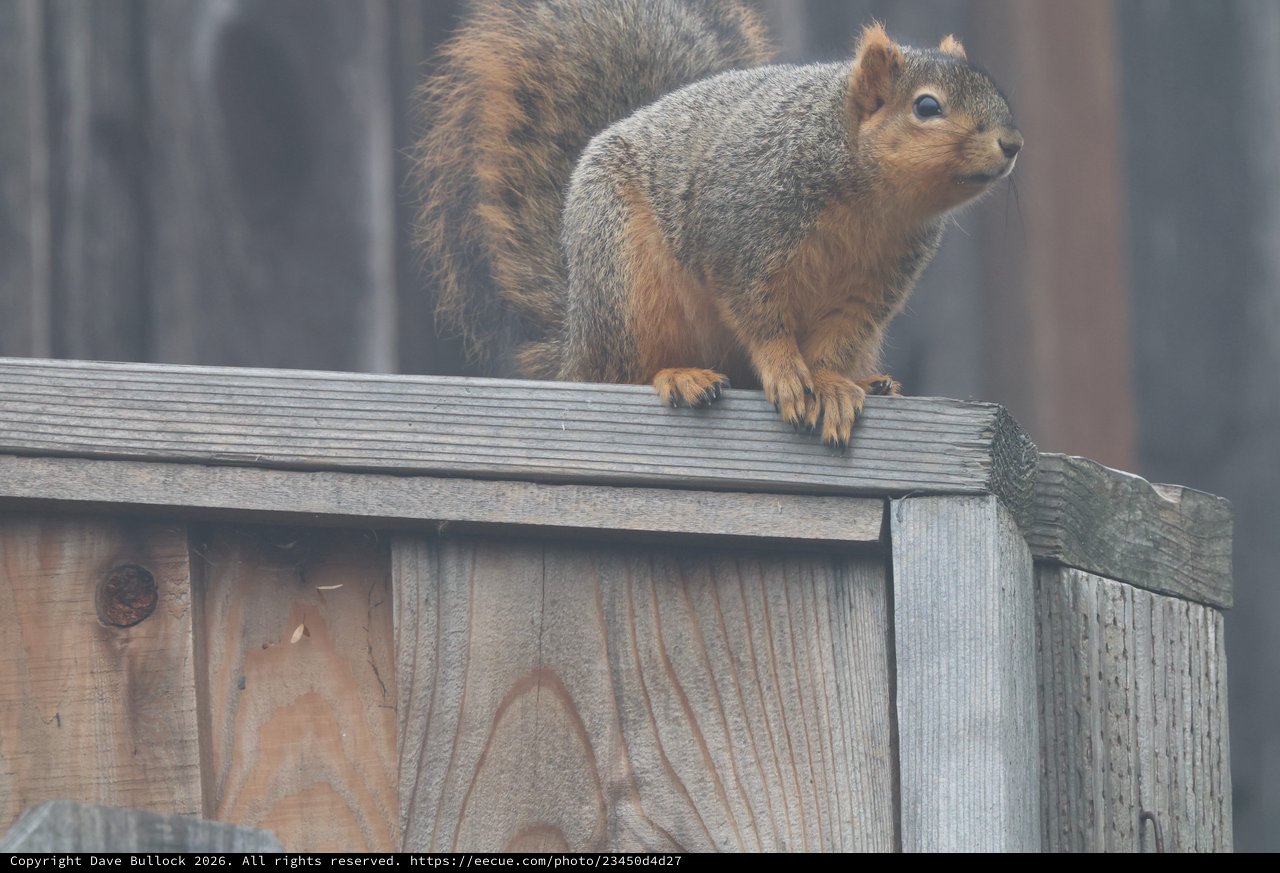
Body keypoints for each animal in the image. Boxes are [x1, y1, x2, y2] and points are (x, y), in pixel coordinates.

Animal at [414, 0, 1022, 447]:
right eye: (927, 107)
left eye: (997, 94)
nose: (1013, 144)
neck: (871, 198)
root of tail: (577, 346)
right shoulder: (740, 232)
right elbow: (757, 313)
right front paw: (787, 371)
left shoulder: (874, 285)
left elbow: (835, 339)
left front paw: (829, 384)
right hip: (627, 285)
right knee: (625, 372)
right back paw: (680, 376)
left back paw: (870, 380)